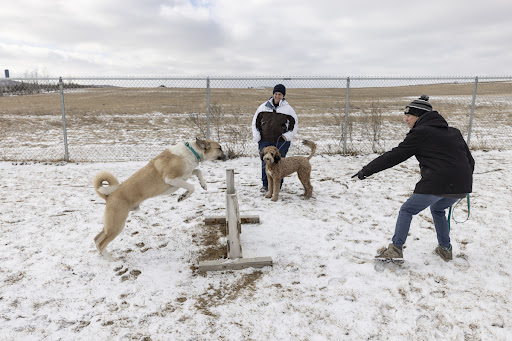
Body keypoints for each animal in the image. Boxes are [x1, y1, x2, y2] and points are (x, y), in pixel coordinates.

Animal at [92, 137, 228, 258]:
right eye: (219, 148)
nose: (228, 156)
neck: (191, 152)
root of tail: (109, 196)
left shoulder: (187, 174)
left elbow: (198, 171)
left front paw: (203, 184)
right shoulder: (172, 179)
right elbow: (191, 187)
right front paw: (182, 197)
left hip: (110, 225)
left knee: (96, 239)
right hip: (117, 225)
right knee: (101, 243)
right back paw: (112, 260)